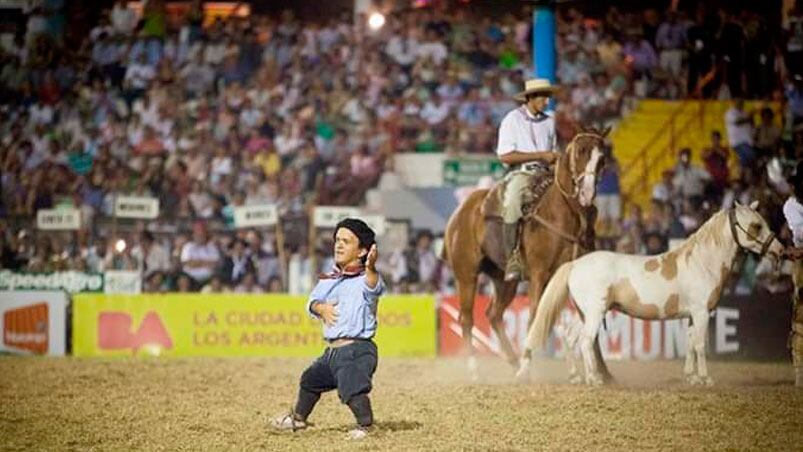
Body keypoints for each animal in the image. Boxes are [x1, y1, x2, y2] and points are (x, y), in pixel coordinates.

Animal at [442, 129, 612, 380]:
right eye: (580, 151)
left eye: (602, 157)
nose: (587, 193)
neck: (563, 216)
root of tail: (461, 211)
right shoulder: (540, 275)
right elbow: (536, 316)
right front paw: (528, 367)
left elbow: (579, 320)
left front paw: (601, 373)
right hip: (466, 275)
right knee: (467, 318)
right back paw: (476, 371)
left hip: (504, 280)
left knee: (494, 315)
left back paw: (513, 362)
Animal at [520, 204, 784, 384]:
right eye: (756, 225)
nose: (780, 251)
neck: (702, 263)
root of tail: (575, 264)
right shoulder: (701, 312)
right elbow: (700, 344)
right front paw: (705, 379)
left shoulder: (692, 315)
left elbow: (690, 343)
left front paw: (691, 377)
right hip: (594, 314)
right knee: (585, 341)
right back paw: (594, 378)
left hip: (585, 314)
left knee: (570, 338)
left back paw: (577, 377)